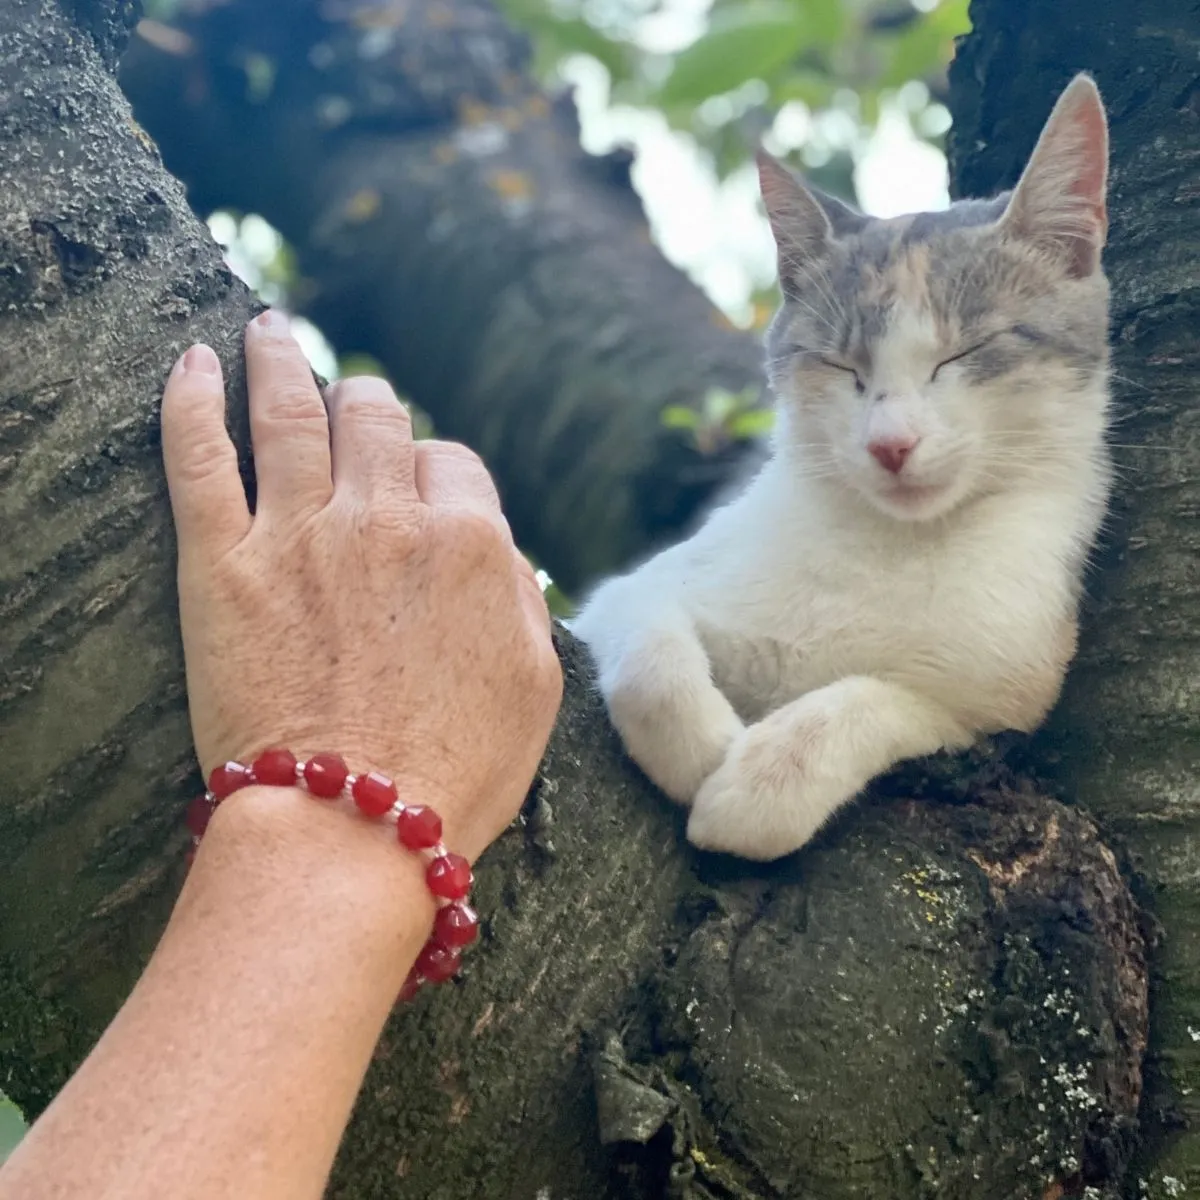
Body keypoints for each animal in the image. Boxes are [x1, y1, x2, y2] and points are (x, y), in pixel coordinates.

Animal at [571, 72, 1113, 864]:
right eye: (840, 366)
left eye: (962, 353)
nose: (891, 444)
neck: (886, 547)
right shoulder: (628, 596)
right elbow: (646, 639)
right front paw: (698, 747)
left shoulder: (995, 711)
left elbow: (877, 700)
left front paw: (761, 785)